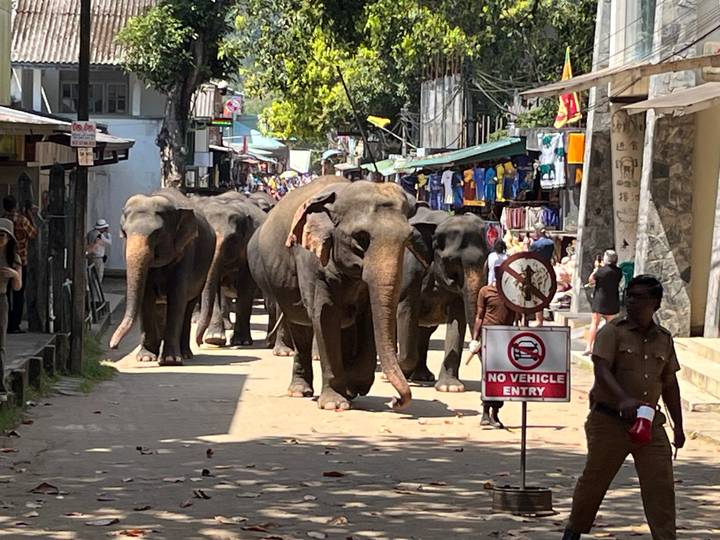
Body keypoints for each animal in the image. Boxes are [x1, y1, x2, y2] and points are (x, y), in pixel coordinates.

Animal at [110, 188, 216, 365]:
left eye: (157, 233)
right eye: (124, 233)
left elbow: (177, 297)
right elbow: (146, 297)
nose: (113, 346)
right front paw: (146, 358)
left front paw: (170, 360)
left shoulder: (186, 250)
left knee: (188, 306)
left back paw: (185, 354)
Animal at [195, 195, 267, 347]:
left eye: (232, 239)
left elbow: (246, 286)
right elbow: (215, 287)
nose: (199, 342)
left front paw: (241, 341)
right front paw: (214, 339)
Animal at [248, 176, 422, 411]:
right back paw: (300, 391)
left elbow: (368, 317)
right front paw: (335, 404)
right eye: (361, 238)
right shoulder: (310, 259)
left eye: (408, 239)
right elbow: (325, 315)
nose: (395, 400)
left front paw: (354, 385)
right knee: (300, 327)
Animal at [397, 206, 494, 392]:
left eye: (486, 259)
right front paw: (399, 366)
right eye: (452, 262)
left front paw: (450, 387)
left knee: (424, 331)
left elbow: (458, 319)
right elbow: (406, 308)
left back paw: (422, 376)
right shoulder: (409, 267)